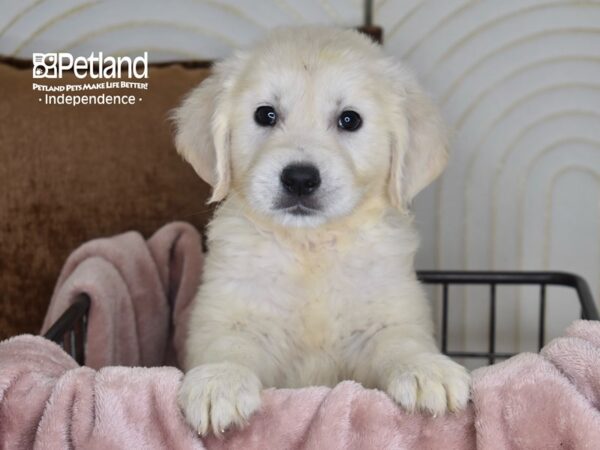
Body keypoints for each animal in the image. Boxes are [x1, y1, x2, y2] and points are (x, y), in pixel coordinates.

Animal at [171, 25, 472, 436]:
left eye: (349, 120)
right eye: (265, 114)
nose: (299, 179)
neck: (309, 247)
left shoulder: (388, 316)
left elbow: (401, 341)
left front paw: (426, 369)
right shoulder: (230, 315)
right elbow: (228, 346)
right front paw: (220, 381)